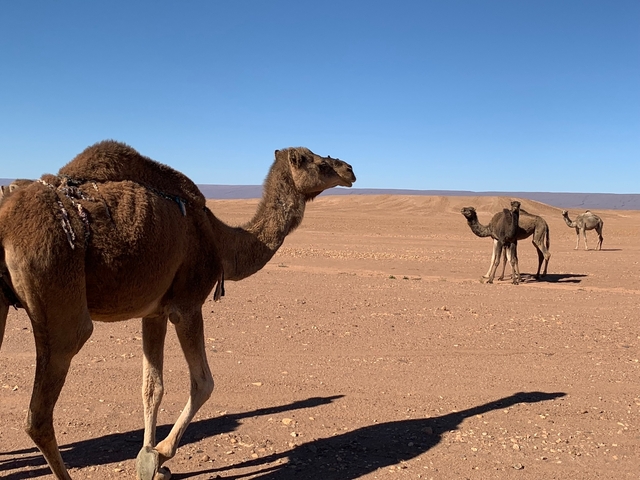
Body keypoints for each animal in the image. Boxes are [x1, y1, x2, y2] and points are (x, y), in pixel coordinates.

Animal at [0, 140, 356, 480]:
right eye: (319, 163)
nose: (349, 169)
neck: (220, 239)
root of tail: (6, 221)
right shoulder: (187, 305)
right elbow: (203, 383)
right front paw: (160, 455)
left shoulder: (153, 311)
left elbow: (151, 387)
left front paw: (148, 459)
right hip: (58, 292)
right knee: (40, 414)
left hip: (4, 302)